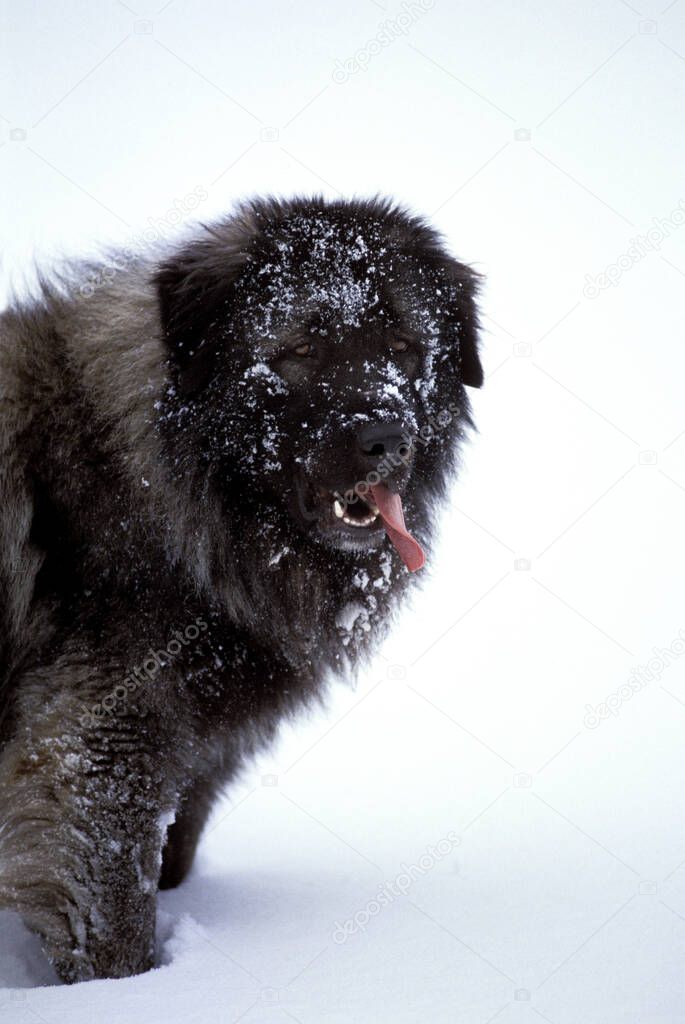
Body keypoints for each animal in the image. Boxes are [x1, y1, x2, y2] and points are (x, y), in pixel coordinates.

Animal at [0, 193, 481, 983]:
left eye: (405, 346)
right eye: (301, 350)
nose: (386, 438)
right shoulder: (96, 744)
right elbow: (114, 918)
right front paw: (123, 994)